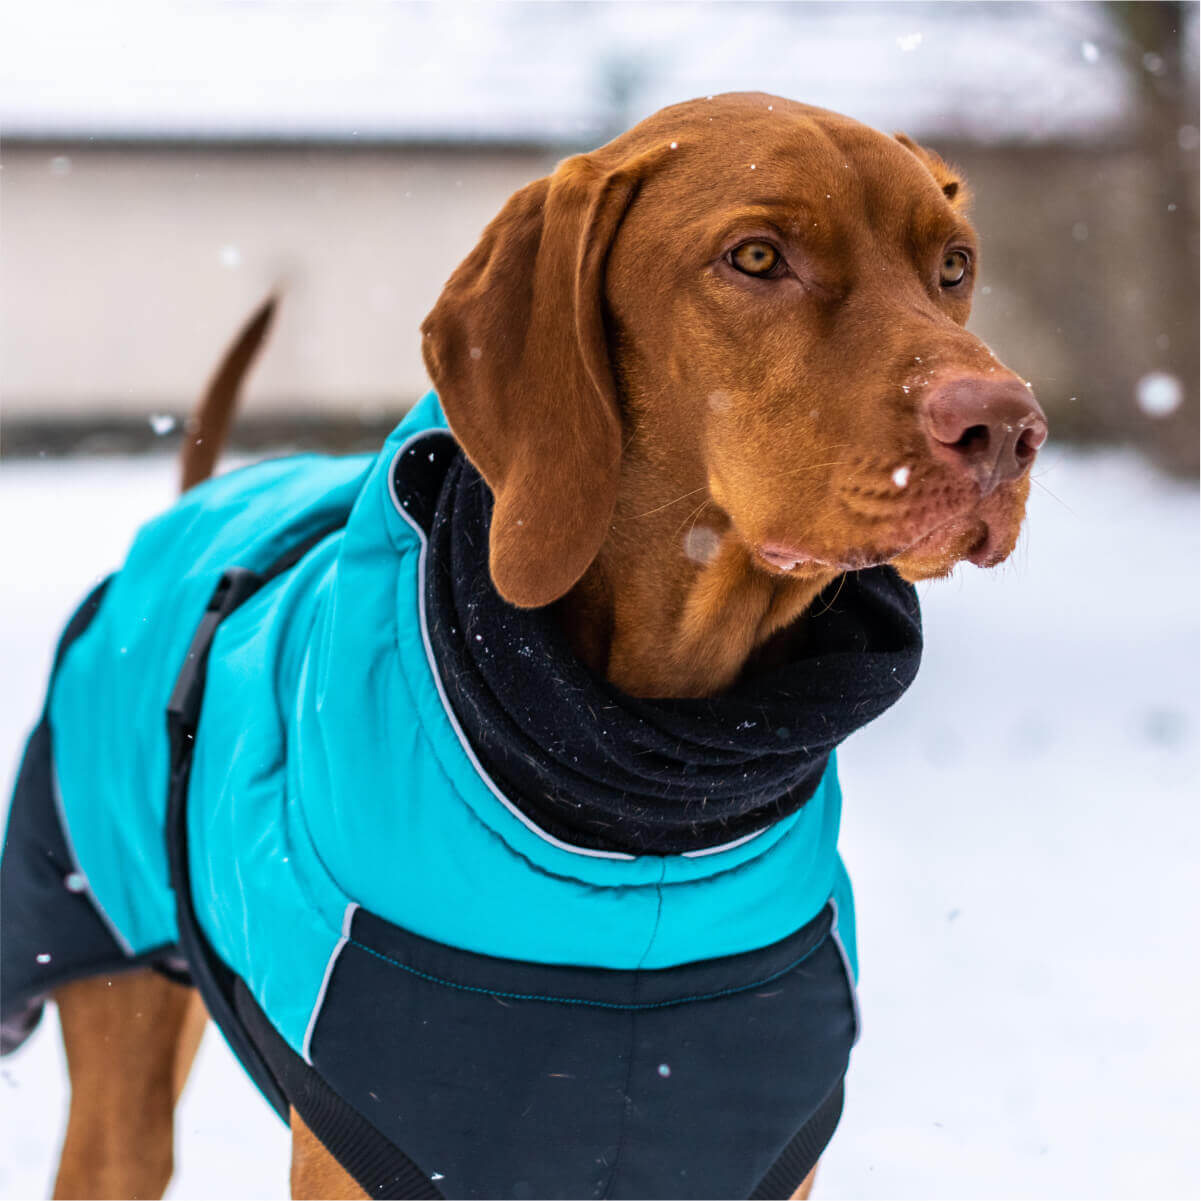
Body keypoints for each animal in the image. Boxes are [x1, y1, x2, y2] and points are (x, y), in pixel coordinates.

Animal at [2, 96, 1042, 1201]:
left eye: (953, 266)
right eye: (756, 256)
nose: (1008, 427)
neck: (650, 810)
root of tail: (195, 504)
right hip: (115, 1043)